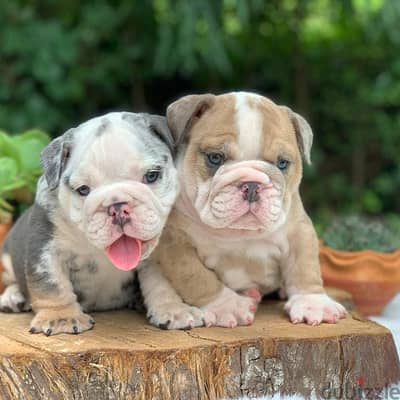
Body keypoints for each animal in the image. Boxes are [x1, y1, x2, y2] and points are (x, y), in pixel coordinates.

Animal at [0, 111, 178, 334]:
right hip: (6, 257)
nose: (117, 206)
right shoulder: (46, 250)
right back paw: (12, 297)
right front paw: (61, 318)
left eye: (152, 176)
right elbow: (52, 284)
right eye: (83, 189)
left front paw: (173, 309)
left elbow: (162, 281)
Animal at [141, 93, 346, 328]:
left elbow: (305, 266)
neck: (238, 235)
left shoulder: (298, 230)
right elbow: (197, 277)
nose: (252, 185)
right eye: (215, 158)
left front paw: (313, 303)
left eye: (282, 163)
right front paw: (227, 306)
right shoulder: (175, 242)